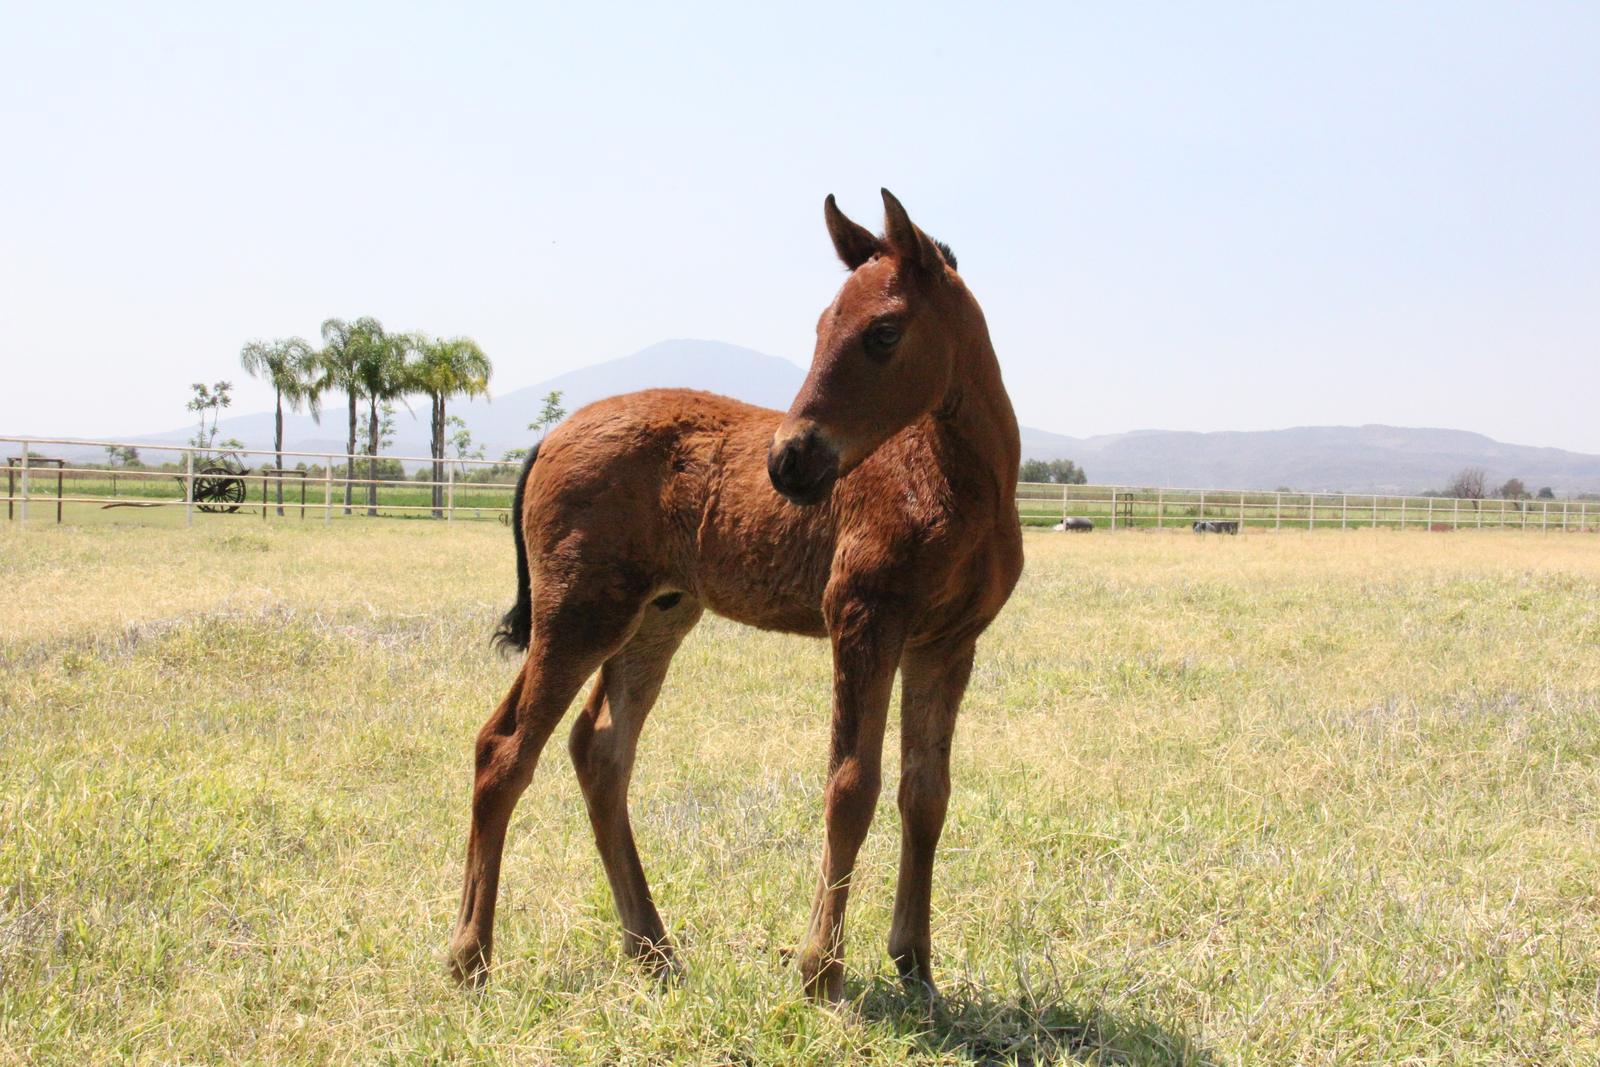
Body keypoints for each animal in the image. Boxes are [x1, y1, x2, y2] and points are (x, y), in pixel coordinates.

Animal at [448, 189, 1024, 1004]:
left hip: (655, 618)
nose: (790, 461)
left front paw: (916, 966)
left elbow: (926, 793)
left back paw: (652, 947)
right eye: (820, 327)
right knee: (504, 749)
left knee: (599, 750)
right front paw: (821, 971)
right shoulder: (863, 620)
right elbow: (852, 784)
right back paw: (470, 955)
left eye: (883, 332)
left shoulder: (946, 644)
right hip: (579, 615)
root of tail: (555, 433)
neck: (949, 482)